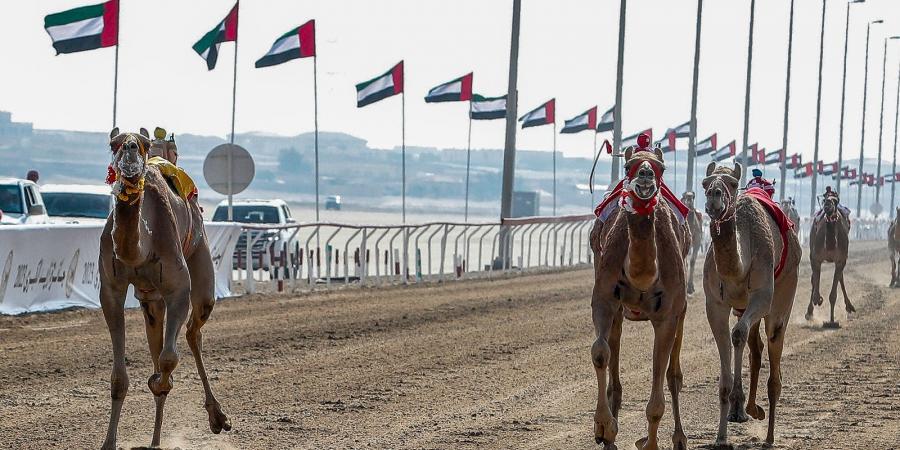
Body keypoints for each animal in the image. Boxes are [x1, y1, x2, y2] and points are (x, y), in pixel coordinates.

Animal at [98, 127, 230, 450]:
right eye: (113, 144)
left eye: (143, 145)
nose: (131, 149)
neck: (139, 248)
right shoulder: (111, 289)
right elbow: (119, 377)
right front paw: (109, 443)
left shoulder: (178, 288)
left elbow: (169, 359)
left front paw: (159, 381)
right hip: (150, 300)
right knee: (162, 339)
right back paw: (156, 440)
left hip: (200, 262)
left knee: (193, 331)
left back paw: (217, 417)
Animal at [592, 145, 688, 450]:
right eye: (628, 166)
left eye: (661, 167)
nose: (645, 174)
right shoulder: (604, 299)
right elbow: (600, 353)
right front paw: (604, 427)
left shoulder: (668, 314)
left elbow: (659, 381)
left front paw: (650, 443)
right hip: (620, 313)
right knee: (613, 351)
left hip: (682, 311)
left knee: (673, 374)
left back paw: (679, 438)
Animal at [704, 161, 800, 446]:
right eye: (705, 183)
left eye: (733, 183)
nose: (713, 196)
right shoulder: (715, 304)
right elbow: (732, 344)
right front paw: (721, 436)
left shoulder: (762, 295)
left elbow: (738, 335)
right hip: (742, 307)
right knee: (754, 346)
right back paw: (747, 409)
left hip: (785, 289)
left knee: (772, 344)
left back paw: (768, 436)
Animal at [804, 188, 856, 326]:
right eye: (825, 199)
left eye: (836, 201)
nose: (828, 205)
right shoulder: (815, 258)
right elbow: (815, 282)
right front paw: (817, 300)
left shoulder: (841, 260)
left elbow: (833, 294)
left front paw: (832, 320)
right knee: (814, 279)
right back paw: (809, 312)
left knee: (840, 278)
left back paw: (849, 307)